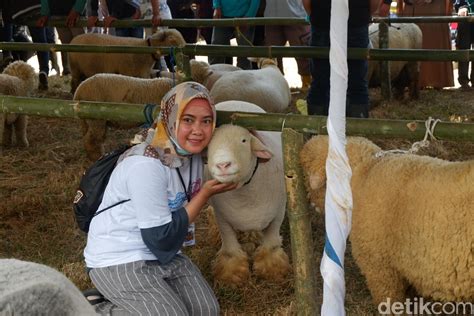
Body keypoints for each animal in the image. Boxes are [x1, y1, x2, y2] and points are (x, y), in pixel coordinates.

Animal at [206, 100, 290, 286]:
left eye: (244, 140)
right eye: (208, 144)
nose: (223, 165)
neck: (245, 194)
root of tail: (233, 101)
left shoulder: (278, 212)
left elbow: (272, 242)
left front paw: (271, 270)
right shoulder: (222, 217)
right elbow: (229, 245)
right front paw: (232, 274)